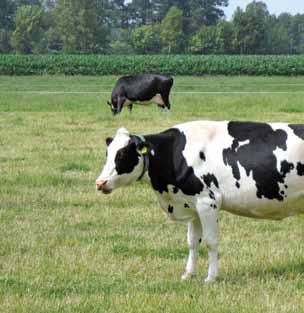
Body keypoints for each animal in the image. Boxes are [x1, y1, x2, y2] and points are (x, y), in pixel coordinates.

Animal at [95, 119, 304, 280]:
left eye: (122, 154)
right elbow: (193, 242)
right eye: (107, 154)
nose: (100, 182)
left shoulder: (207, 202)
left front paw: (211, 277)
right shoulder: (192, 205)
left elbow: (211, 241)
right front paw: (188, 274)